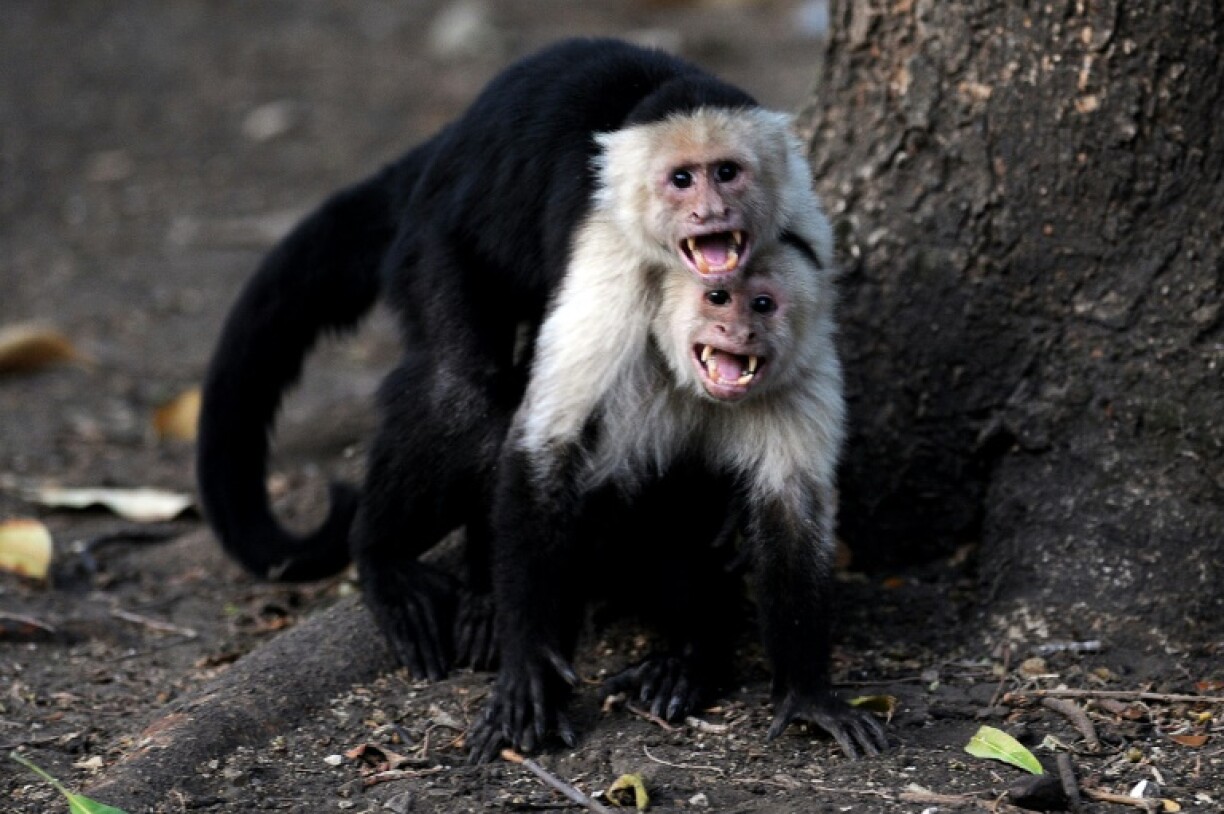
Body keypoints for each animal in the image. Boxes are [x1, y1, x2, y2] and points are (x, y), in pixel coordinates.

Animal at [466, 237, 888, 762]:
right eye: (719, 298)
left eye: (763, 304)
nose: (738, 331)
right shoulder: (610, 326)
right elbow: (545, 454)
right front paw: (529, 668)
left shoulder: (808, 379)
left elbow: (792, 516)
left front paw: (808, 696)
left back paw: (693, 657)